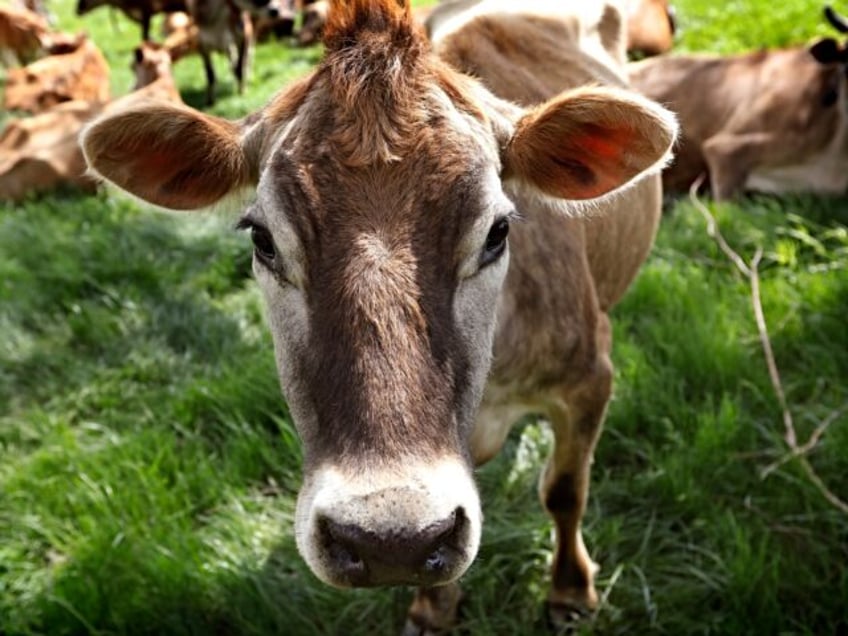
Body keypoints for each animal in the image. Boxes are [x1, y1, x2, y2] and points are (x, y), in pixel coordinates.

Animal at [79, 0, 676, 632]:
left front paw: (569, 592)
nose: (392, 541)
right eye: (262, 239)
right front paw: (433, 609)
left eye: (498, 230)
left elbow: (564, 490)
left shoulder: (590, 377)